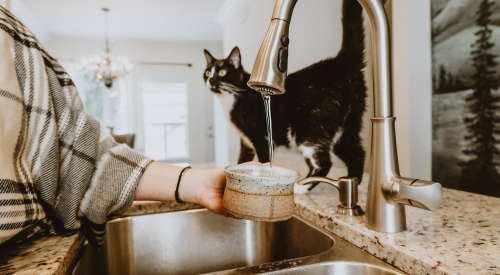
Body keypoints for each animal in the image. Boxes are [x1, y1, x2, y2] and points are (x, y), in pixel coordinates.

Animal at [203, 0, 368, 190]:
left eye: (222, 72)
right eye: (207, 72)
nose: (211, 80)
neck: (231, 97)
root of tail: (341, 62)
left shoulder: (260, 136)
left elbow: (264, 161)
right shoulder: (246, 141)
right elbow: (242, 159)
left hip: (310, 126)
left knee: (324, 162)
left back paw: (301, 187)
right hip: (348, 123)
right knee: (356, 152)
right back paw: (352, 182)